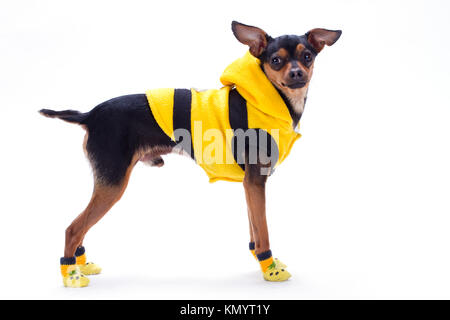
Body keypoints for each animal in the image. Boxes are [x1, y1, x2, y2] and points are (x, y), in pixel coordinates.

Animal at [39, 20, 342, 288]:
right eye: (276, 61)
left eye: (307, 57)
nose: (297, 73)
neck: (270, 100)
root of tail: (90, 115)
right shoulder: (256, 182)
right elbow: (264, 231)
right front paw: (270, 269)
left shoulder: (250, 184)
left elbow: (254, 230)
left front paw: (262, 260)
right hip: (112, 184)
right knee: (73, 228)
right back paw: (71, 276)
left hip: (106, 183)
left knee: (80, 227)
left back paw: (82, 264)